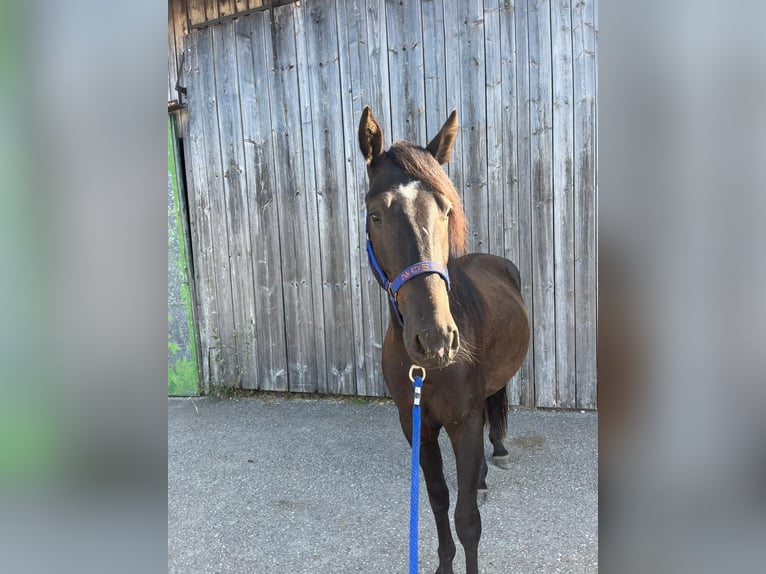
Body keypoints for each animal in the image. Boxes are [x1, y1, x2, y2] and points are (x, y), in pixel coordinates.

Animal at [358, 106, 530, 574]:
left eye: (446, 210)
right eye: (376, 215)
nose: (435, 339)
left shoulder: (463, 421)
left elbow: (467, 518)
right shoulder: (417, 424)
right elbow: (438, 500)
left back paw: (497, 454)